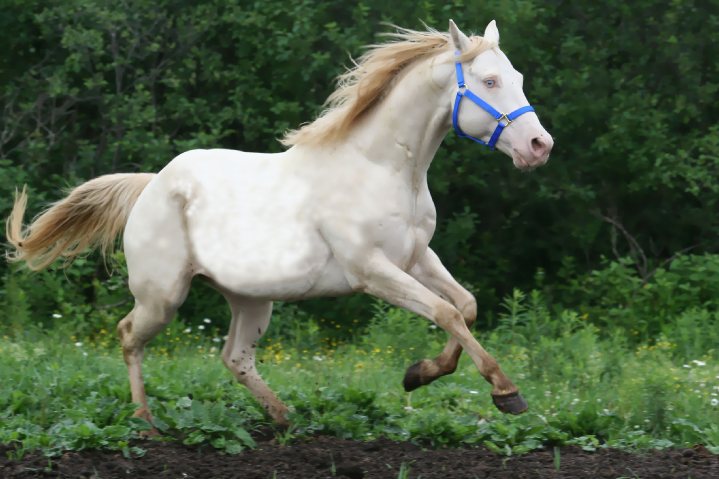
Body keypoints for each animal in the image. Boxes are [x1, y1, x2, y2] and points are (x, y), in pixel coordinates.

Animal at [6, 20, 553, 429]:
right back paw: (146, 422)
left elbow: (466, 305)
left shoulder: (416, 258)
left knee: (235, 357)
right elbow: (446, 312)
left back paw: (283, 417)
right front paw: (506, 391)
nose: (539, 146)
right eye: (488, 82)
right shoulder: (371, 271)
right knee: (128, 335)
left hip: (251, 299)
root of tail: (152, 186)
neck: (383, 168)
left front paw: (419, 374)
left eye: (519, 77)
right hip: (163, 296)